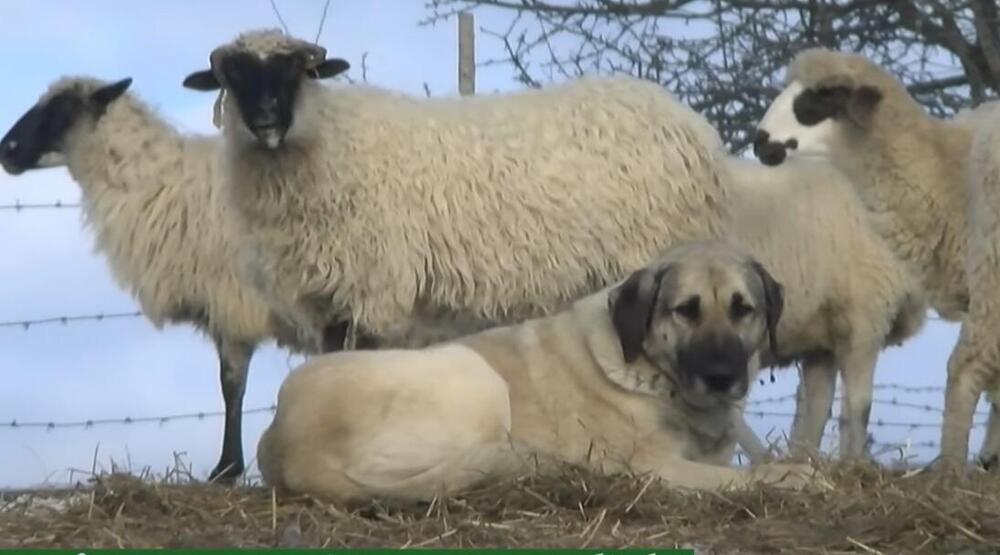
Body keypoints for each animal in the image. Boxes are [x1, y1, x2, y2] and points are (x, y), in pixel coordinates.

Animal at [0, 76, 314, 483]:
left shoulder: (230, 302)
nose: (6, 150)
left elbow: (231, 386)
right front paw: (229, 467)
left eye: (63, 109)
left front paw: (226, 469)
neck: (159, 182)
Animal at [179, 28, 734, 353]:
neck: (324, 142)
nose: (265, 121)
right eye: (234, 75)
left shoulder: (371, 285)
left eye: (293, 70)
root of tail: (693, 127)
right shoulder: (324, 296)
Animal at [256, 240, 817, 501]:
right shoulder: (657, 468)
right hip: (474, 375)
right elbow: (742, 478)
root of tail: (291, 446)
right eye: (686, 311)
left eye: (744, 310)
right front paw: (792, 476)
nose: (723, 375)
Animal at [722, 157, 927, 461]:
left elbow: (816, 411)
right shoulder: (865, 321)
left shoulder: (822, 344)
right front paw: (854, 462)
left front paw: (804, 459)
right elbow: (859, 407)